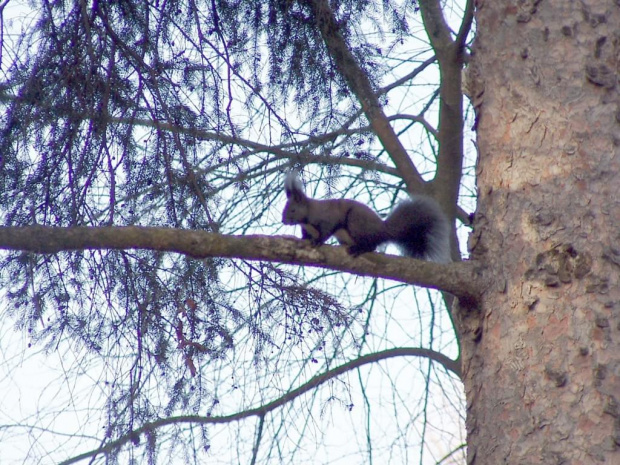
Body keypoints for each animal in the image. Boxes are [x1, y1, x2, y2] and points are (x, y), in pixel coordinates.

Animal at [282, 172, 450, 262]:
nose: (283, 220)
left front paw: (317, 241)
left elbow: (326, 231)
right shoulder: (306, 228)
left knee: (371, 245)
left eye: (292, 210)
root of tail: (383, 230)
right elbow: (306, 234)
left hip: (356, 222)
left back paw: (358, 249)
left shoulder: (327, 218)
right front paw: (304, 239)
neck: (308, 217)